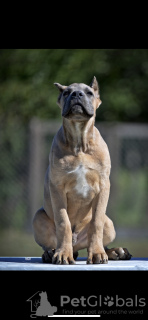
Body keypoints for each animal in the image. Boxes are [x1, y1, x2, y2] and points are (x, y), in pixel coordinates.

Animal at [32, 76, 132, 264]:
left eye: (89, 93)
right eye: (66, 92)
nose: (77, 94)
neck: (80, 142)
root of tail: (76, 245)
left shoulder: (103, 186)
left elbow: (96, 222)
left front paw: (97, 253)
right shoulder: (57, 187)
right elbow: (63, 222)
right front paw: (63, 254)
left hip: (110, 224)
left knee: (100, 233)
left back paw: (115, 251)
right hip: (38, 218)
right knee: (50, 243)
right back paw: (52, 252)